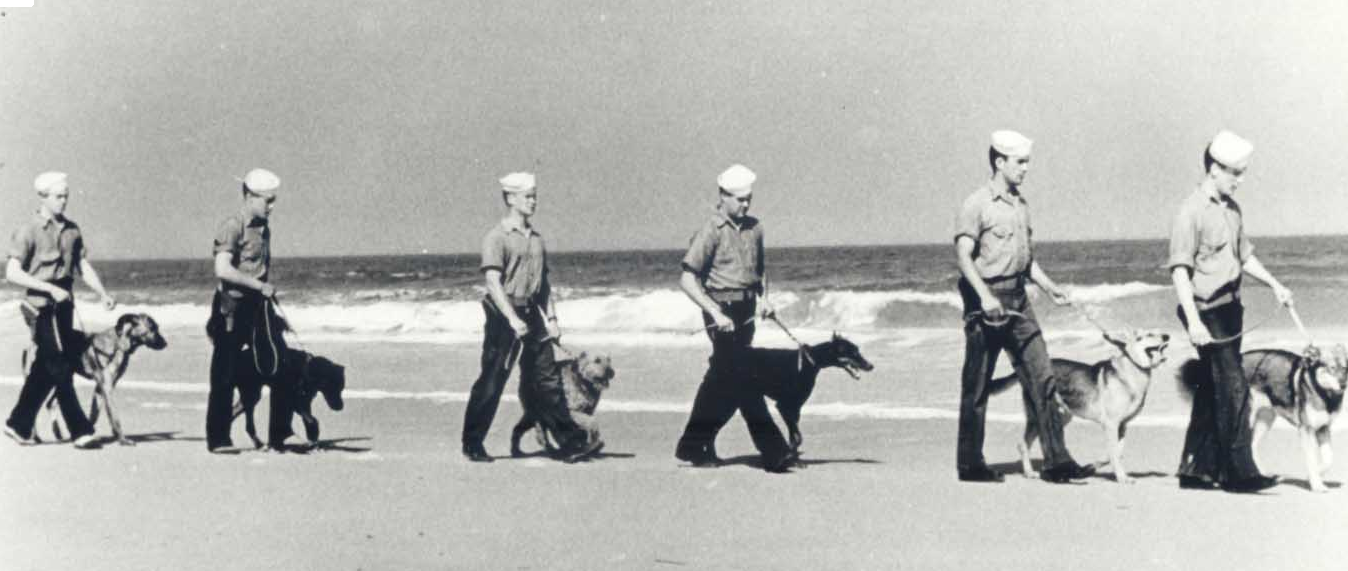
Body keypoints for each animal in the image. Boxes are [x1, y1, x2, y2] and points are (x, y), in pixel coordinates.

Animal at [36, 312, 167, 447]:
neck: (118, 343)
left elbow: (94, 415)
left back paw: (55, 433)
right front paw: (122, 439)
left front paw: (87, 434)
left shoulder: (100, 388)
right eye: (152, 328)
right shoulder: (107, 387)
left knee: (50, 403)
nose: (165, 343)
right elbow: (114, 416)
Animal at [744, 332, 878, 457]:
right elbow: (798, 438)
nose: (871, 366)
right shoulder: (784, 406)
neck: (809, 360)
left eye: (857, 350)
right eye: (853, 352)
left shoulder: (795, 407)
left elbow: (794, 438)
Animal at [1175, 344, 1342, 492]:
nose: (1342, 384)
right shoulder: (1306, 430)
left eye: (1344, 369)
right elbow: (1313, 460)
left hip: (1265, 419)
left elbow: (1329, 458)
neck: (1322, 392)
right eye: (1332, 368)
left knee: (1251, 445)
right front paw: (1316, 484)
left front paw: (1317, 475)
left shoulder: (1323, 428)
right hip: (1243, 416)